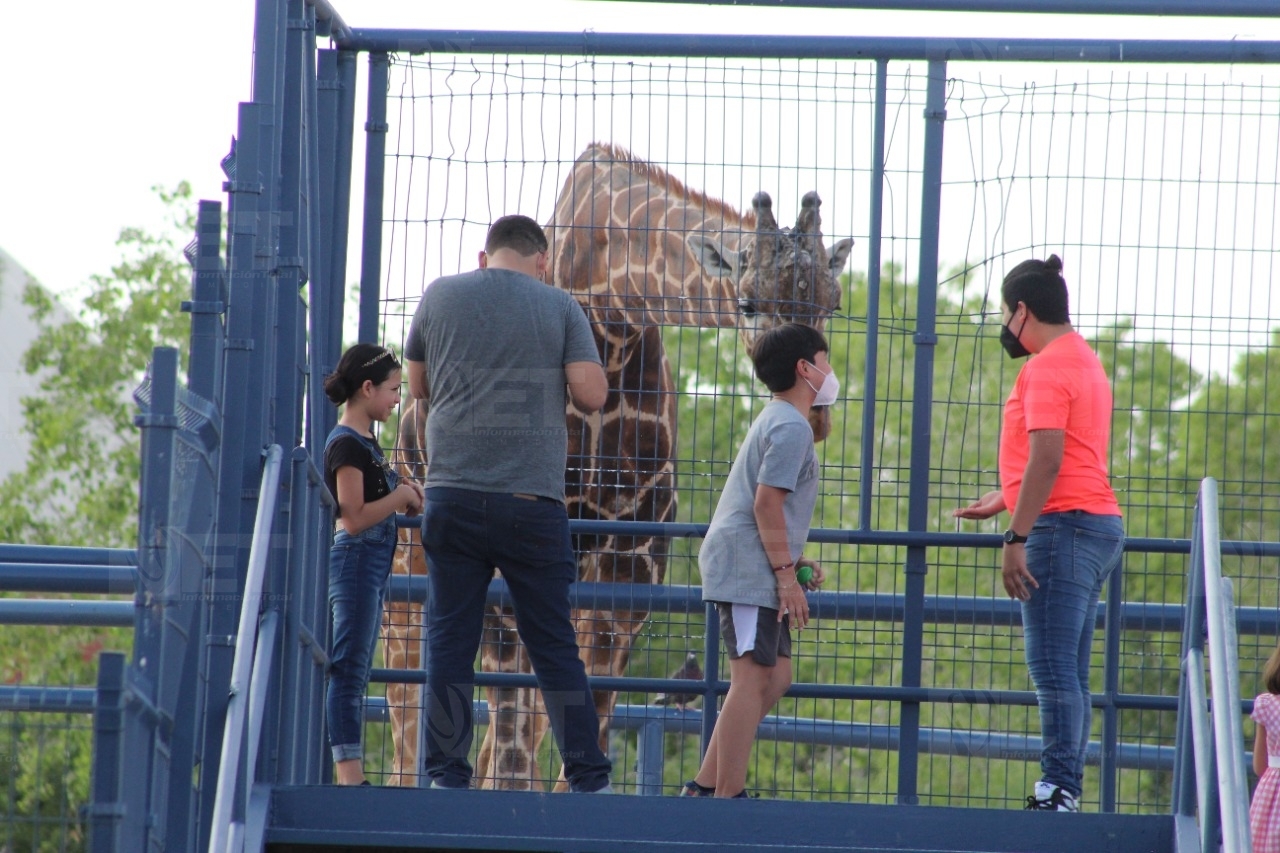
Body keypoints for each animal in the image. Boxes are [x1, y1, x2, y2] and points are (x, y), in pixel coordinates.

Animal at [378, 142, 849, 788]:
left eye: (833, 303)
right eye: (748, 302)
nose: (819, 414)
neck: (611, 316)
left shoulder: (629, 567)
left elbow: (582, 721)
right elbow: (514, 749)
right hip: (408, 586)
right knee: (409, 729)